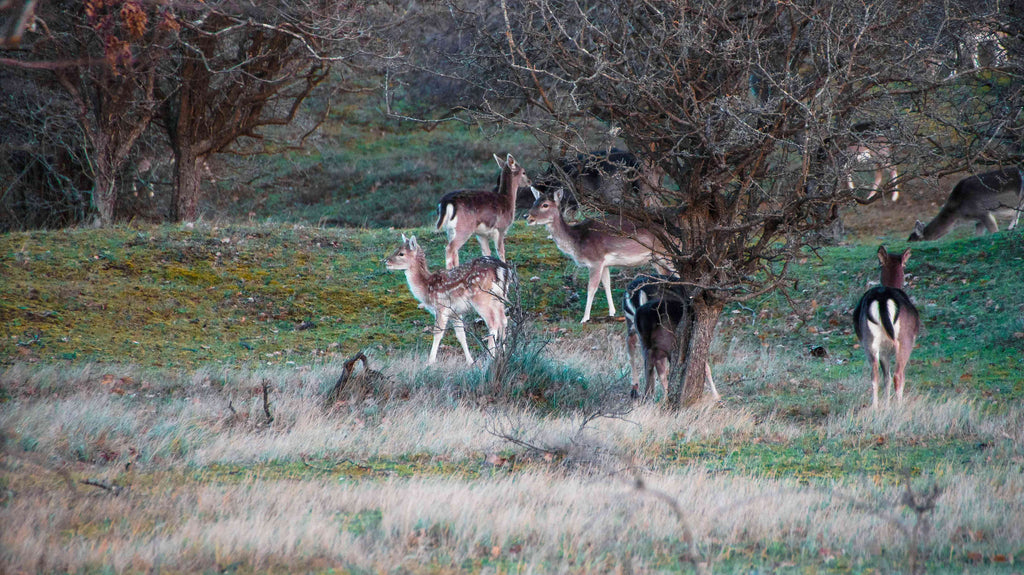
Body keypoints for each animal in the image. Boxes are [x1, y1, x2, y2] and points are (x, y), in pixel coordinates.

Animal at [385, 233, 512, 362]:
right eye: (396, 249)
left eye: (401, 253)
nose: (386, 261)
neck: (427, 288)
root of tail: (502, 269)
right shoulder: (455, 312)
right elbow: (461, 335)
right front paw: (470, 361)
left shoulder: (441, 307)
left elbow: (437, 333)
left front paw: (430, 361)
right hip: (500, 298)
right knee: (504, 320)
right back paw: (503, 353)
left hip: (482, 297)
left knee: (493, 323)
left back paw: (490, 356)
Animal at [528, 187, 671, 323]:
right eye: (534, 202)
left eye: (545, 205)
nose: (528, 217)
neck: (577, 242)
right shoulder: (604, 263)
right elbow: (607, 284)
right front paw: (612, 312)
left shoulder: (595, 261)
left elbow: (591, 288)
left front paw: (584, 318)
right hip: (656, 259)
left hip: (666, 253)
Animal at [851, 243, 925, 405]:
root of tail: (882, 298)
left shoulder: (883, 351)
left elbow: (886, 378)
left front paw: (886, 405)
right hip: (904, 340)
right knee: (898, 375)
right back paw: (899, 406)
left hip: (869, 341)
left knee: (875, 377)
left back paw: (875, 407)